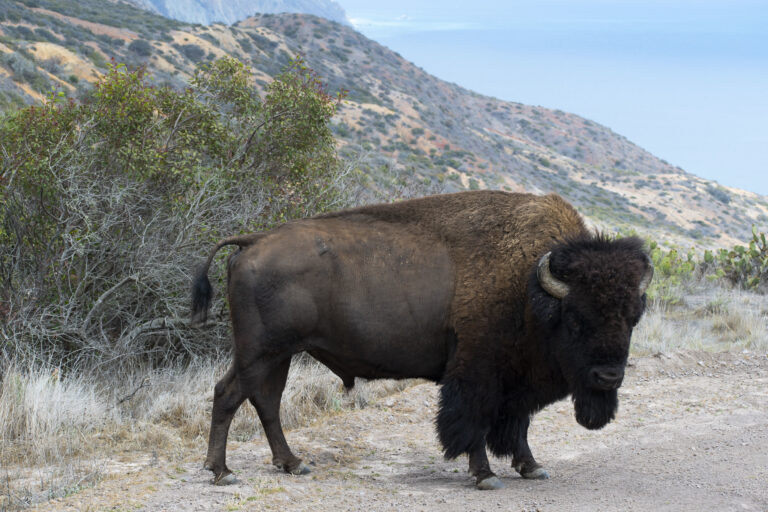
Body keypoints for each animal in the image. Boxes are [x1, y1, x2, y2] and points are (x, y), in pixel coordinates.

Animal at [191, 191, 652, 490]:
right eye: (576, 319)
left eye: (633, 317)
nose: (609, 377)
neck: (530, 288)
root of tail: (253, 240)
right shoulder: (477, 371)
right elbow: (472, 421)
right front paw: (485, 476)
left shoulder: (516, 378)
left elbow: (518, 423)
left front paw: (531, 467)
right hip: (260, 351)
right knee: (229, 394)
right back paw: (222, 472)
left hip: (280, 354)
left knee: (265, 401)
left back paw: (292, 464)